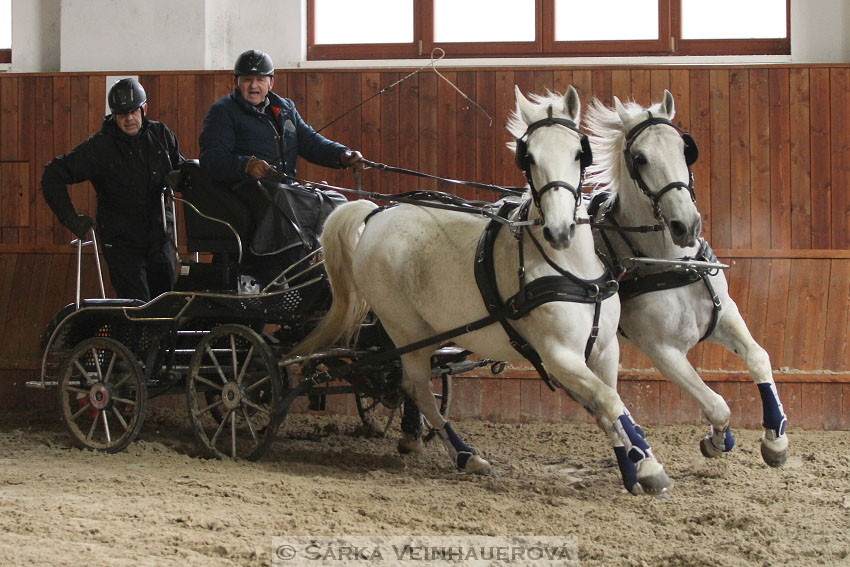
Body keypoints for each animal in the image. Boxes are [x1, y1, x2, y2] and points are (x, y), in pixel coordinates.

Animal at [294, 85, 672, 496]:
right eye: (529, 157)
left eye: (578, 152)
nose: (559, 231)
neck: (570, 268)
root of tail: (378, 212)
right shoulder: (557, 354)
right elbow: (608, 401)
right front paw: (650, 468)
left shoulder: (603, 348)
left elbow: (611, 406)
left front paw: (635, 467)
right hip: (404, 328)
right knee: (417, 386)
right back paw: (465, 455)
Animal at [588, 92, 784, 466]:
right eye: (640, 158)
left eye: (684, 148)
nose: (687, 225)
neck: (671, 262)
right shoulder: (662, 351)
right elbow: (717, 404)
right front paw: (718, 440)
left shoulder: (724, 315)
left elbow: (758, 357)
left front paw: (775, 437)